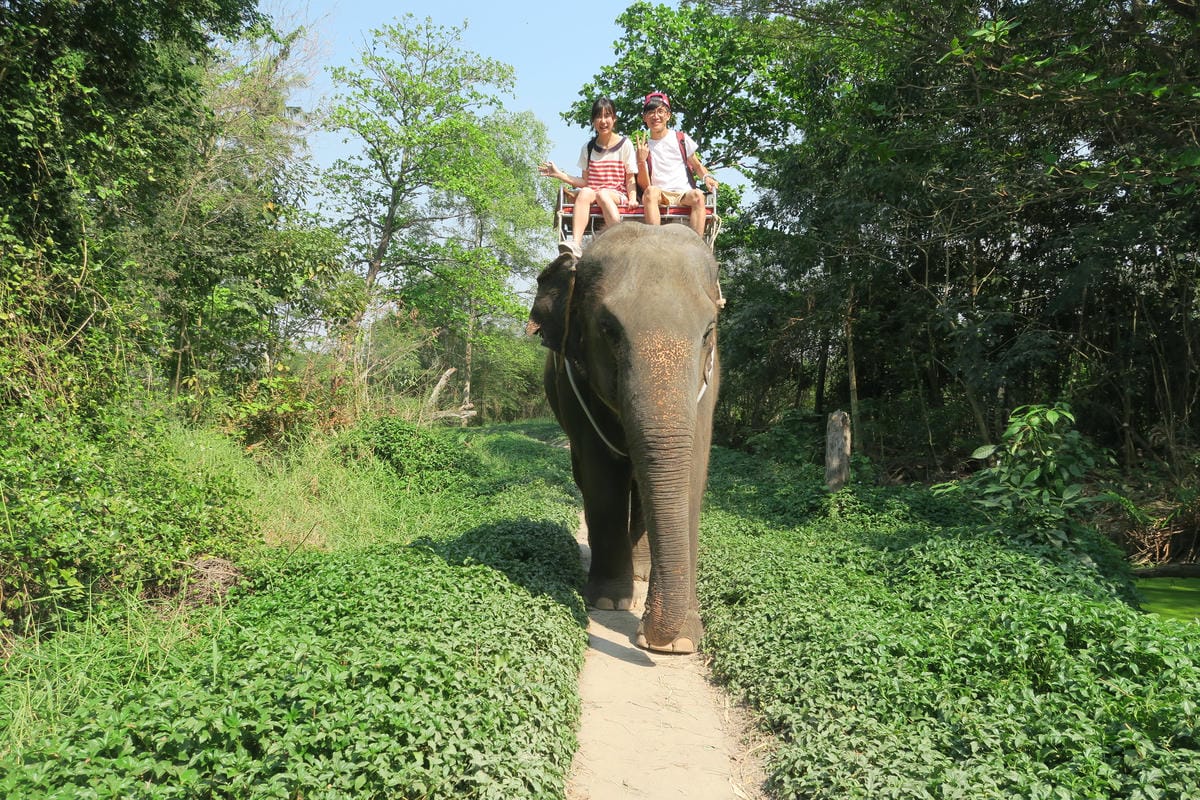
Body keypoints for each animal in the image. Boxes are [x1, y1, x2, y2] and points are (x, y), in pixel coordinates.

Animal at [527, 222, 721, 654]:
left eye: (708, 332)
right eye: (608, 329)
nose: (646, 639)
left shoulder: (710, 385)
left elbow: (691, 475)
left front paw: (681, 642)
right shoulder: (574, 381)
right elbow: (602, 476)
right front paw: (609, 602)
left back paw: (644, 574)